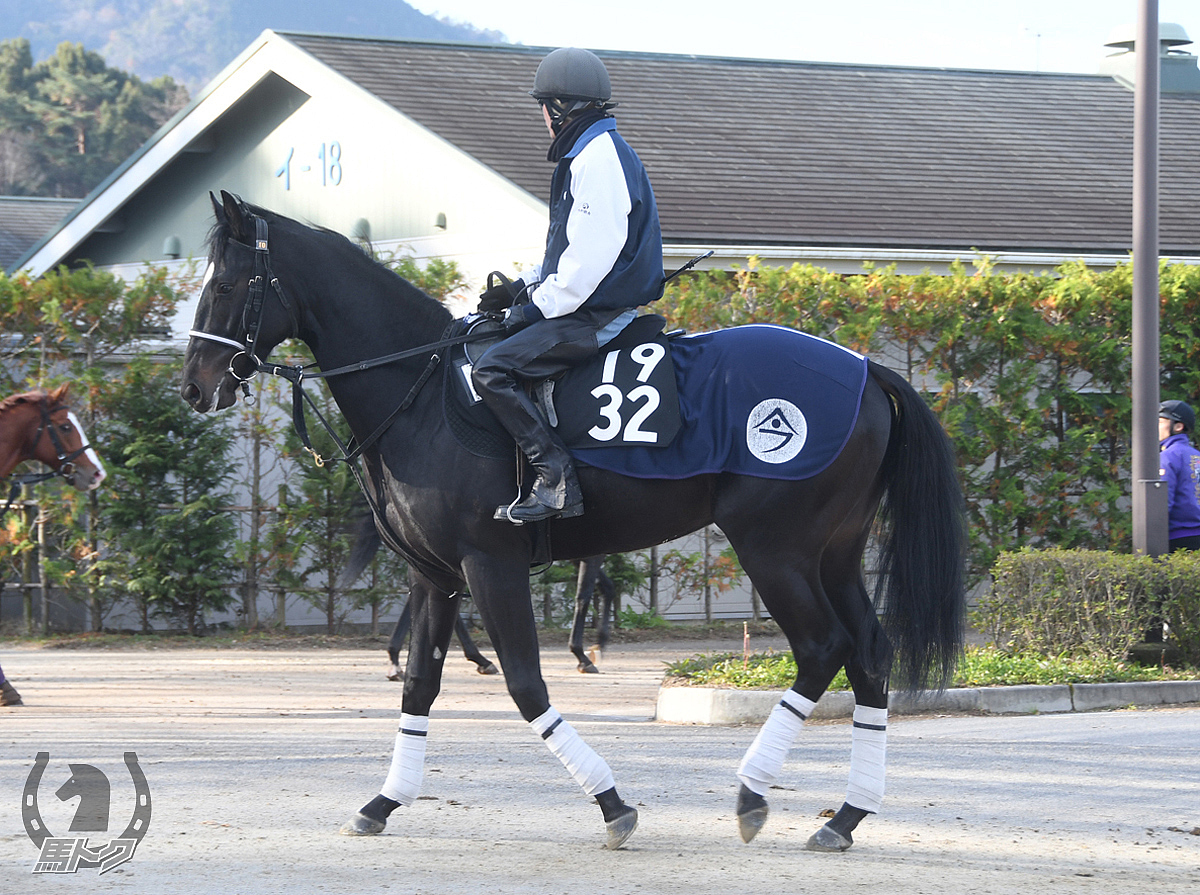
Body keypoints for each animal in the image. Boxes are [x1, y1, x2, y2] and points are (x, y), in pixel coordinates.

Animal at [177, 191, 964, 849]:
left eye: (225, 285)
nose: (193, 386)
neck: (422, 392)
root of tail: (866, 368)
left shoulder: (489, 564)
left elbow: (527, 686)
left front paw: (613, 803)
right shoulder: (435, 575)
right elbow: (420, 685)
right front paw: (382, 801)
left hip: (776, 549)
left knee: (824, 647)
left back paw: (752, 791)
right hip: (832, 553)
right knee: (869, 652)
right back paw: (847, 815)